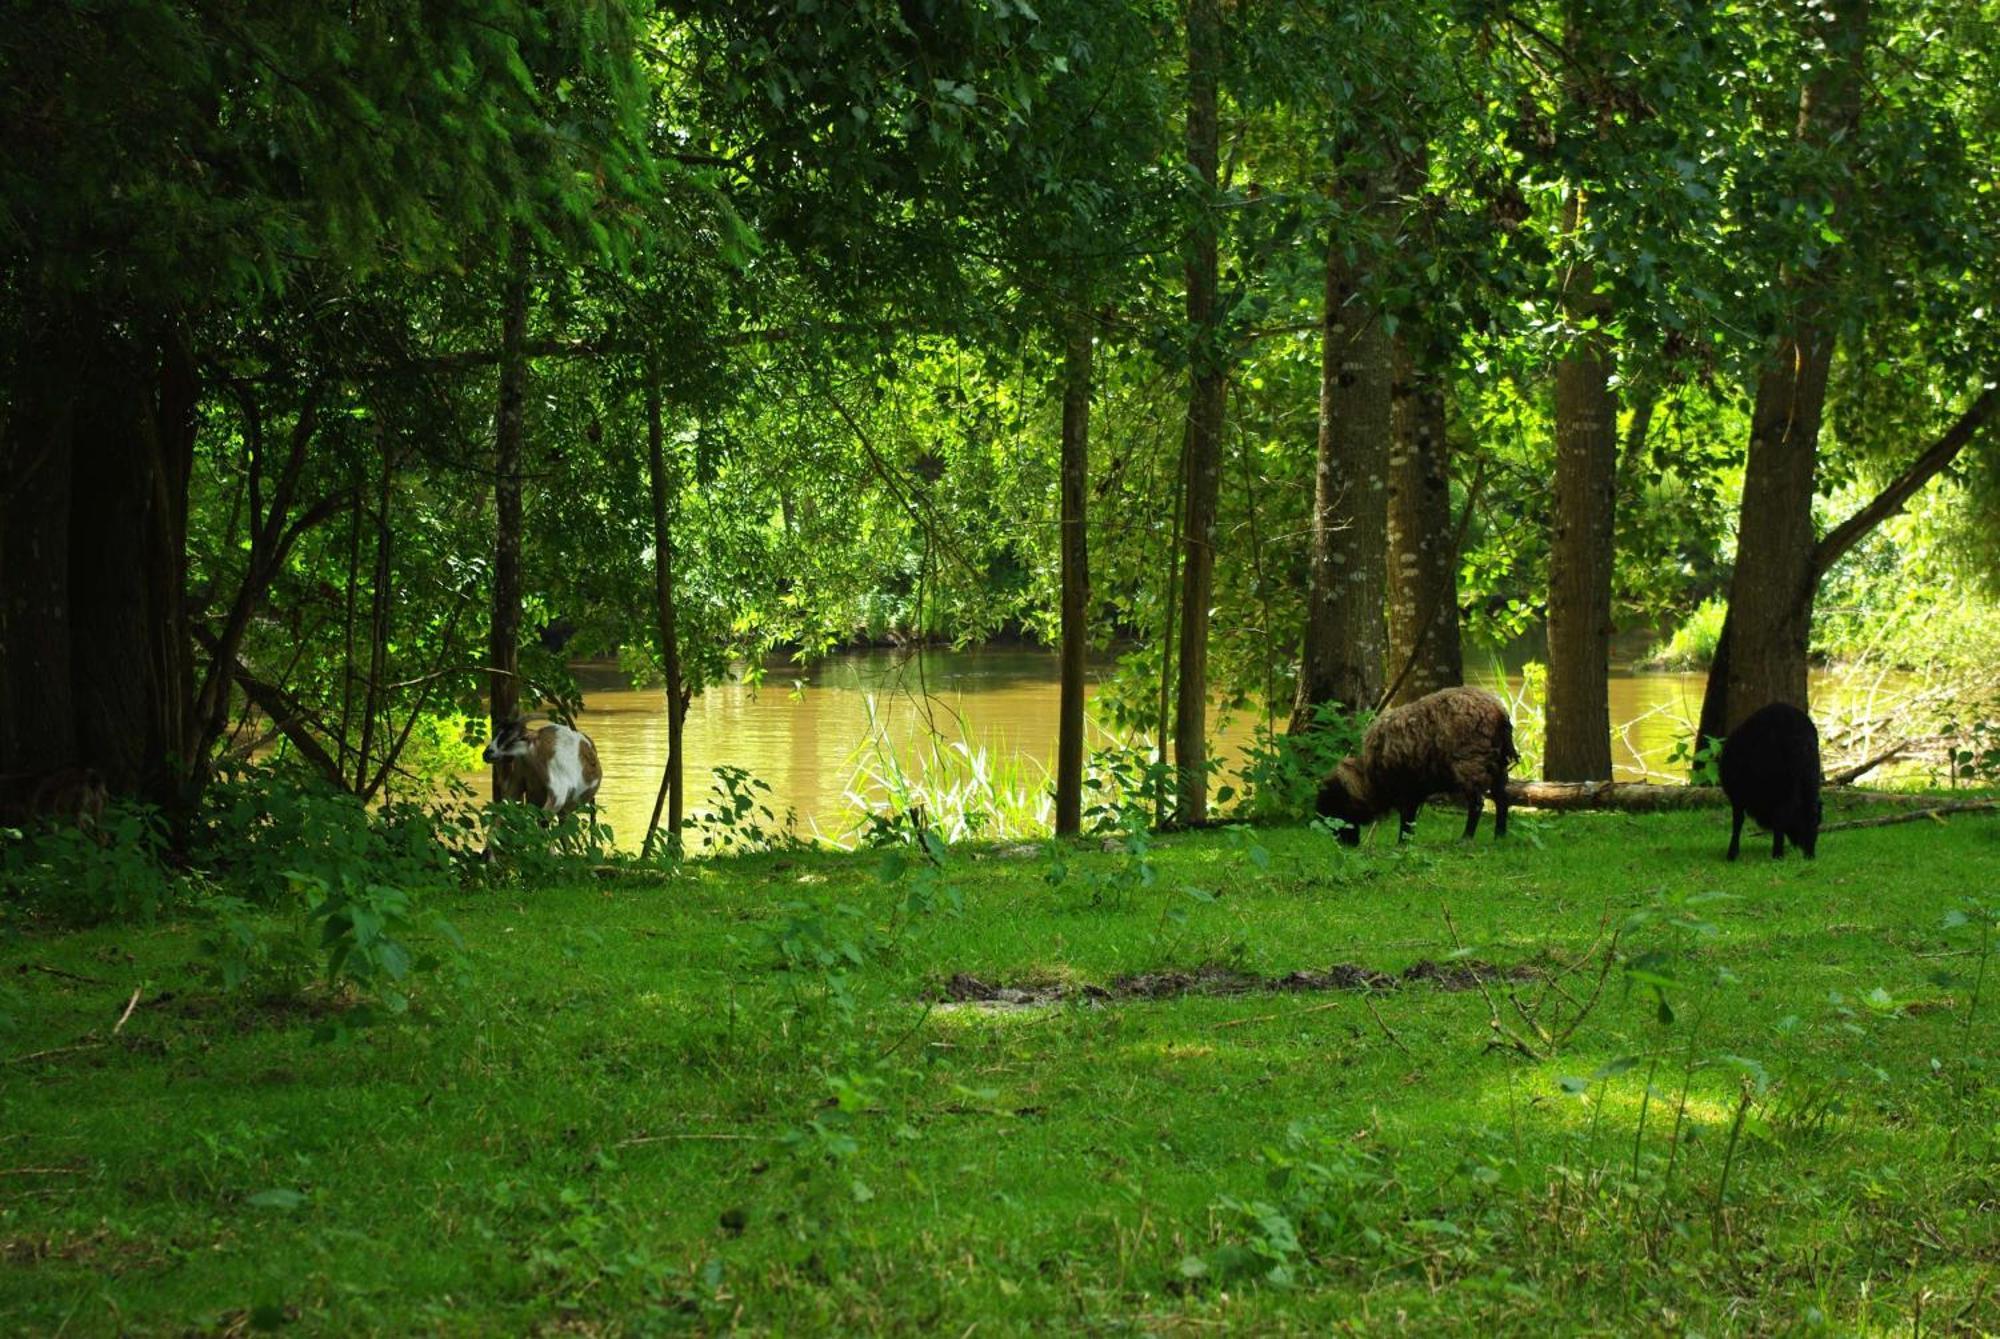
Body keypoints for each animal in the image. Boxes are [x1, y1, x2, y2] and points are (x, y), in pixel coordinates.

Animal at [1312, 691, 1512, 851]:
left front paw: (1401, 844)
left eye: (1336, 808)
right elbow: (1411, 821)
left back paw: (1466, 838)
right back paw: (1500, 836)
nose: (1346, 845)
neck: (1370, 778)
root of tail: (1499, 711)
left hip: (1471, 764)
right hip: (1499, 765)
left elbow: (1407, 820)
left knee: (1477, 803)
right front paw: (1406, 842)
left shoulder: (1407, 791)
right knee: (1502, 799)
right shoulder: (1416, 792)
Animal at [1712, 703, 1824, 859]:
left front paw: (1732, 854)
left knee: (1781, 815)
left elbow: (1738, 821)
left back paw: (1778, 853)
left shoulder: (1738, 796)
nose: (1799, 844)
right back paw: (1804, 854)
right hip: (1810, 776)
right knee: (1810, 810)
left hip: (1781, 783)